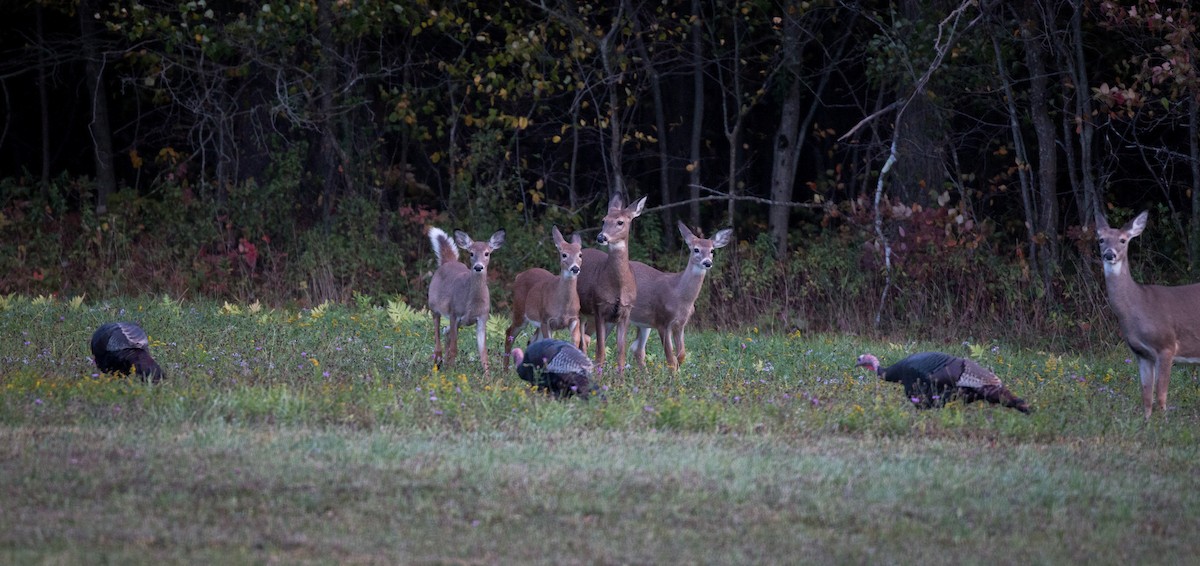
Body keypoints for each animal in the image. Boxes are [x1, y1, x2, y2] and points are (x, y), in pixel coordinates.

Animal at [424, 226, 504, 376]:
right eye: (471, 253)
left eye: (487, 253)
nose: (478, 267)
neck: (472, 304)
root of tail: (448, 262)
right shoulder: (454, 313)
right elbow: (454, 349)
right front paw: (451, 374)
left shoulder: (482, 318)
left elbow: (483, 353)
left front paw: (488, 378)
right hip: (433, 305)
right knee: (437, 332)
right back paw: (438, 362)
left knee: (446, 333)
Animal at [501, 225, 585, 371]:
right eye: (564, 254)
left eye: (580, 254)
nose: (575, 268)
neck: (562, 307)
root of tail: (519, 275)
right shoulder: (547, 319)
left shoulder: (574, 319)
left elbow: (575, 345)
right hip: (520, 311)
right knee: (509, 332)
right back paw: (505, 371)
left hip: (537, 322)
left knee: (532, 340)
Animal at [573, 191, 643, 374]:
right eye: (603, 220)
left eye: (620, 222)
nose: (601, 237)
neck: (618, 286)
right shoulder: (599, 308)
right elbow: (601, 352)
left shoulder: (625, 312)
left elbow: (621, 353)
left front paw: (621, 379)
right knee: (579, 342)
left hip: (587, 315)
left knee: (583, 342)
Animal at [628, 220, 729, 371]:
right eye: (696, 249)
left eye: (712, 250)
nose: (707, 263)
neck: (680, 296)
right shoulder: (662, 321)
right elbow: (671, 359)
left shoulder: (681, 324)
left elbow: (681, 355)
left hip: (643, 322)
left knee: (637, 350)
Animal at [1099, 209, 1200, 417]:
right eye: (1101, 239)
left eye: (1122, 240)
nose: (1109, 254)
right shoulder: (1141, 354)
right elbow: (1146, 396)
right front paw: (1146, 422)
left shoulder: (1167, 346)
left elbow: (1161, 395)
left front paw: (1163, 423)